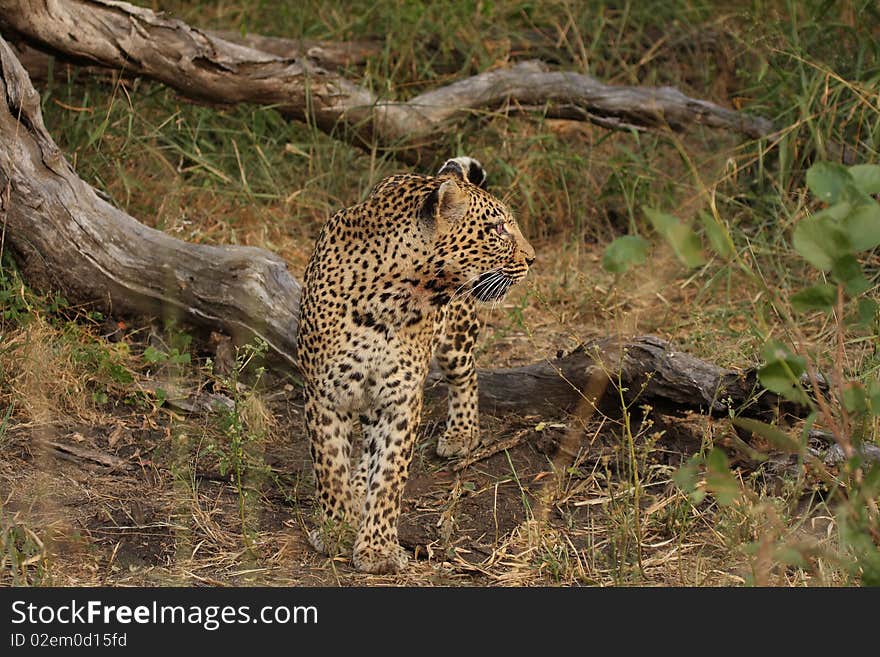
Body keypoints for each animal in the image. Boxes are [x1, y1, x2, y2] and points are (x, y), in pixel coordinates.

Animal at [296, 156, 532, 572]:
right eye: (498, 229)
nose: (533, 259)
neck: (391, 299)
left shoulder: (401, 398)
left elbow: (391, 473)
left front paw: (378, 549)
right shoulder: (324, 393)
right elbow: (329, 466)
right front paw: (337, 528)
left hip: (456, 338)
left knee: (466, 376)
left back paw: (461, 433)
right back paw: (358, 484)